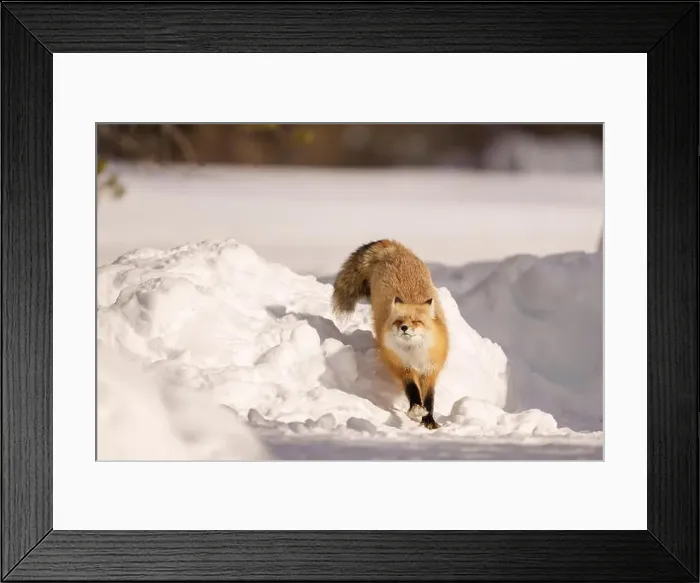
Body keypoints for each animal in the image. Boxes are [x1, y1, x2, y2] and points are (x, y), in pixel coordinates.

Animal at [332, 239, 449, 430]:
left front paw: (429, 420)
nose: (404, 328)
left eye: (416, 321)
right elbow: (412, 390)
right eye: (398, 321)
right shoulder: (402, 366)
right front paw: (416, 409)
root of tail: (393, 248)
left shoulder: (430, 369)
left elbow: (429, 398)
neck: (414, 354)